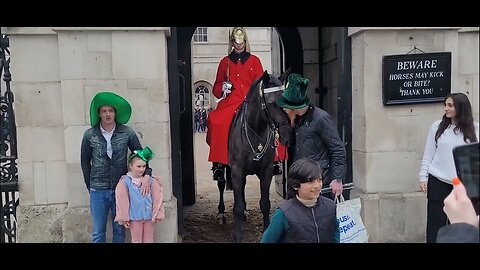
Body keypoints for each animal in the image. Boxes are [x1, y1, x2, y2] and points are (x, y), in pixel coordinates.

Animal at [216, 69, 290, 243]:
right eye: (272, 102)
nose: (287, 134)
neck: (255, 129)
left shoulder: (266, 171)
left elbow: (265, 203)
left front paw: (266, 230)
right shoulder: (237, 170)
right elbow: (237, 207)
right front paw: (237, 236)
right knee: (221, 185)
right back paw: (221, 213)